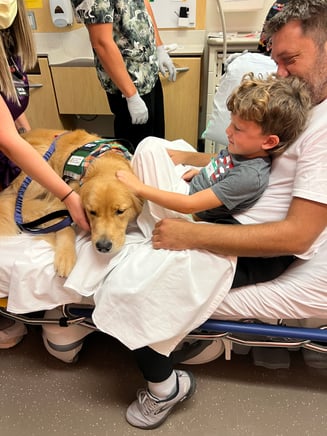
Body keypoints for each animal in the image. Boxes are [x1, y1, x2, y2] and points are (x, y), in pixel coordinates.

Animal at [0, 129, 142, 278]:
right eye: (92, 212)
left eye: (120, 211)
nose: (103, 247)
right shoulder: (65, 197)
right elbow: (66, 228)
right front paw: (65, 257)